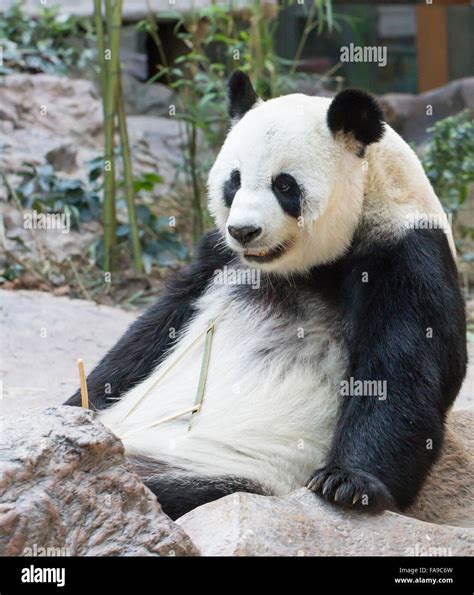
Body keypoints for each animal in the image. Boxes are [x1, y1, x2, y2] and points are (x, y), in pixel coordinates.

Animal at [65, 71, 466, 520]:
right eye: (234, 180)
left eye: (284, 185)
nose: (244, 231)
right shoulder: (218, 258)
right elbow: (152, 331)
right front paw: (75, 405)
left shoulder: (404, 252)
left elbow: (401, 371)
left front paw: (349, 483)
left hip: (223, 470)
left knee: (150, 490)